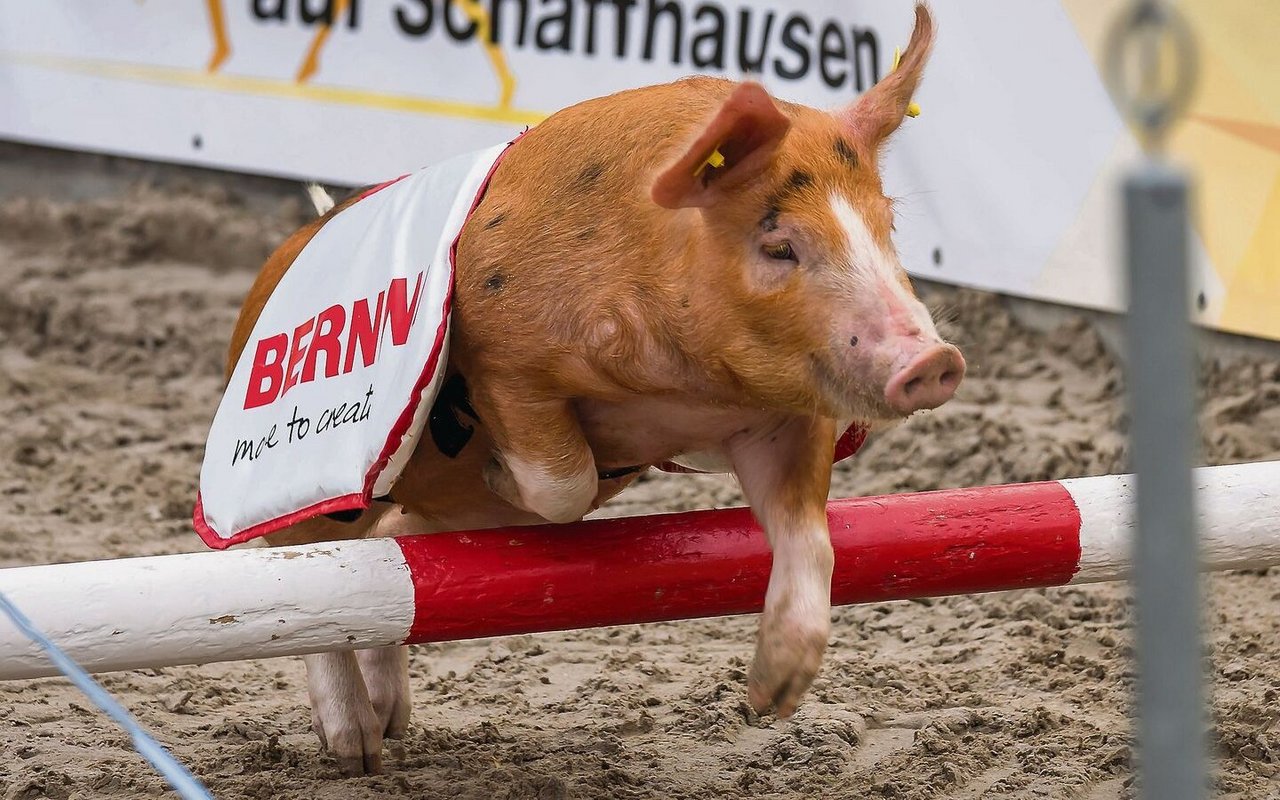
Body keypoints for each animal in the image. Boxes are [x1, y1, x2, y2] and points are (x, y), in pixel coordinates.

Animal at [227, 1, 962, 773]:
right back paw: (356, 752)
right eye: (780, 245)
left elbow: (810, 536)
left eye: (888, 227)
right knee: (296, 572)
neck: (681, 385)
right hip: (315, 486)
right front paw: (502, 471)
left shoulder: (782, 417)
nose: (933, 361)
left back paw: (393, 725)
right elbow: (563, 484)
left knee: (388, 558)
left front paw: (772, 696)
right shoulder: (505, 357)